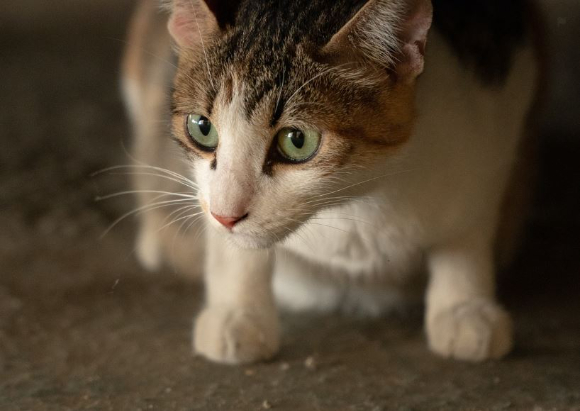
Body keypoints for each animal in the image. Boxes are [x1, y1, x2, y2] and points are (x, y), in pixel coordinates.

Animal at [120, 0, 540, 366]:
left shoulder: (498, 107)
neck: (355, 201)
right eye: (202, 128)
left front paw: (463, 307)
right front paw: (236, 311)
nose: (227, 215)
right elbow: (230, 244)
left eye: (297, 140)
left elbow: (471, 221)